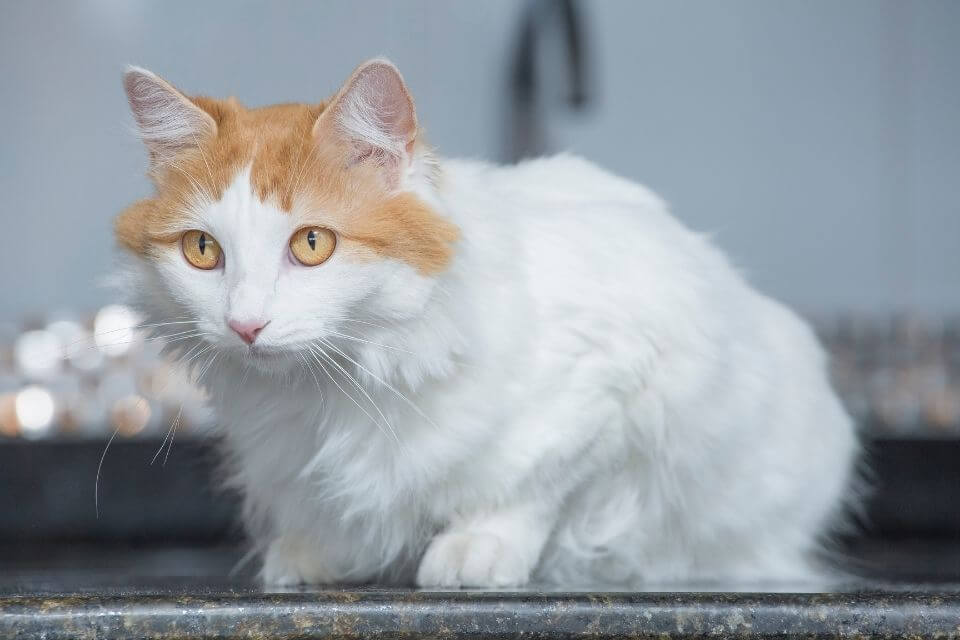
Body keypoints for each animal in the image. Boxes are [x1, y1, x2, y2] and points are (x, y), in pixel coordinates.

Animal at [116, 58, 860, 584]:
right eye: (203, 250)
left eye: (312, 244)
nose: (245, 325)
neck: (337, 385)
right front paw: (321, 551)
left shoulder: (612, 379)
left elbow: (531, 486)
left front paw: (476, 548)